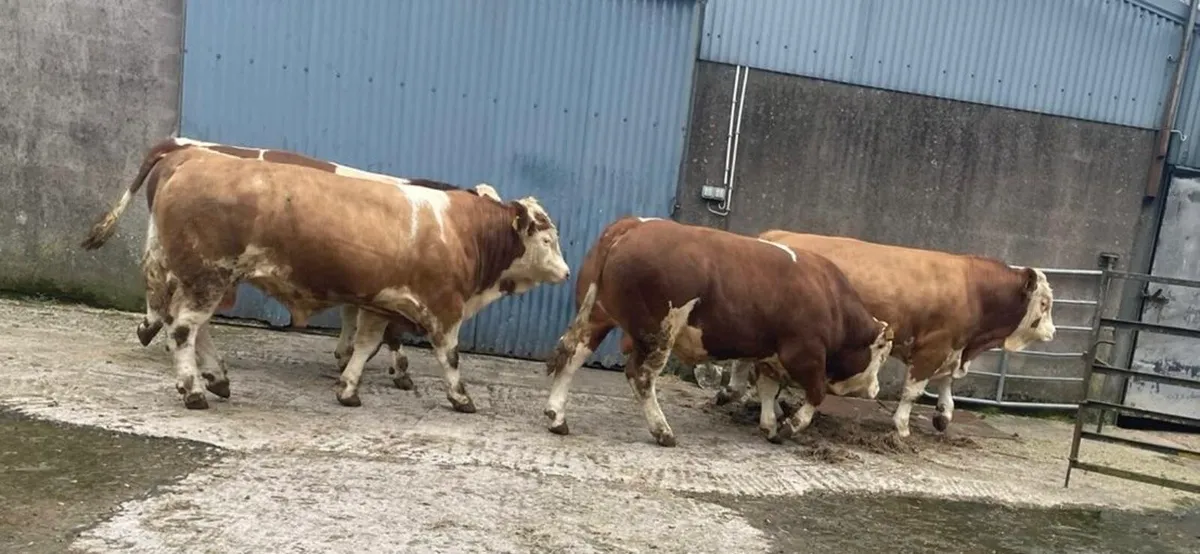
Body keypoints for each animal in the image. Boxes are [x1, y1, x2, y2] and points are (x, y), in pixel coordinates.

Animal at [80, 138, 569, 411]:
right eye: (548, 237)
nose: (566, 272)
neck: (461, 230)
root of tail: (189, 156)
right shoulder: (444, 307)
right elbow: (448, 357)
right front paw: (461, 399)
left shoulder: (380, 302)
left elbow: (366, 346)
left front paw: (349, 388)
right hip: (208, 276)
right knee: (183, 330)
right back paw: (194, 390)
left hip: (200, 277)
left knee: (190, 327)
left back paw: (215, 378)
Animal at [542, 217, 895, 447]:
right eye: (881, 352)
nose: (876, 389)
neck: (831, 300)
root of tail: (635, 224)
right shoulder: (804, 353)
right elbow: (816, 393)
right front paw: (790, 426)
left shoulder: (769, 352)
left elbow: (765, 387)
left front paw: (769, 424)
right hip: (658, 331)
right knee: (640, 376)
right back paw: (663, 431)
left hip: (597, 316)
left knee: (572, 354)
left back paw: (557, 416)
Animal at [714, 230, 1057, 438]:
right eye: (1044, 302)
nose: (1053, 332)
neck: (974, 290)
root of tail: (776, 235)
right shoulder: (933, 347)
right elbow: (913, 391)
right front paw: (902, 427)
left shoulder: (953, 348)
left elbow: (946, 383)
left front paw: (943, 415)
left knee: (745, 361)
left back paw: (735, 393)